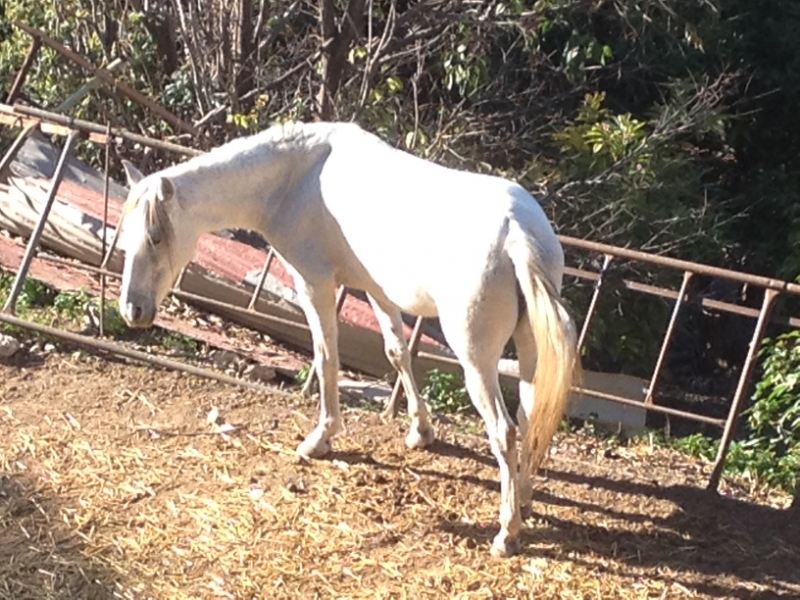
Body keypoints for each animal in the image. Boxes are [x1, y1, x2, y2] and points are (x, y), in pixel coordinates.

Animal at [117, 121, 579, 556]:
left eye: (155, 237)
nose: (132, 311)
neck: (296, 177)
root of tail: (516, 232)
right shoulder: (377, 291)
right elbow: (396, 352)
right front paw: (420, 432)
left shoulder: (314, 284)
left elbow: (326, 358)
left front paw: (320, 439)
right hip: (530, 350)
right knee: (530, 416)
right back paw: (524, 500)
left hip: (476, 361)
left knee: (503, 430)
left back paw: (506, 533)